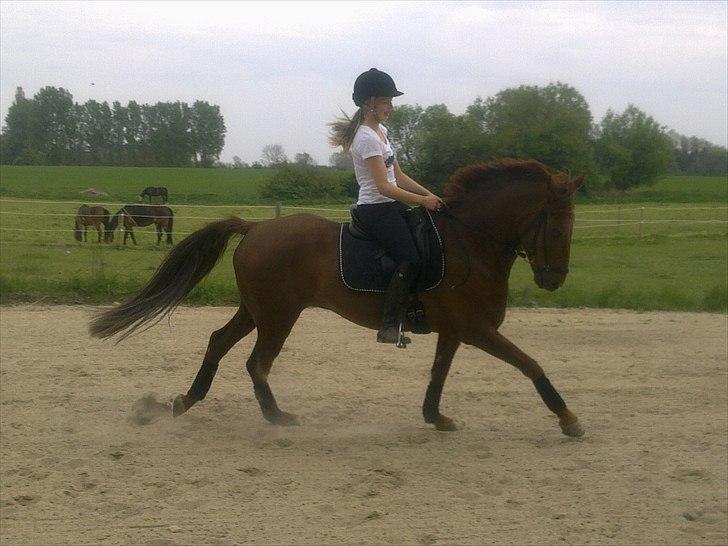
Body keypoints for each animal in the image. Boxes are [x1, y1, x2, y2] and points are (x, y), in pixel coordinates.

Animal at [90, 159, 586, 438]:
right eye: (558, 225)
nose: (554, 280)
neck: (470, 242)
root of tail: (256, 227)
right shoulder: (477, 329)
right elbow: (531, 365)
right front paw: (568, 419)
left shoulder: (455, 331)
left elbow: (438, 375)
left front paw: (435, 418)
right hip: (278, 315)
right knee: (256, 363)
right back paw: (277, 417)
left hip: (256, 310)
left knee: (218, 343)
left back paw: (184, 401)